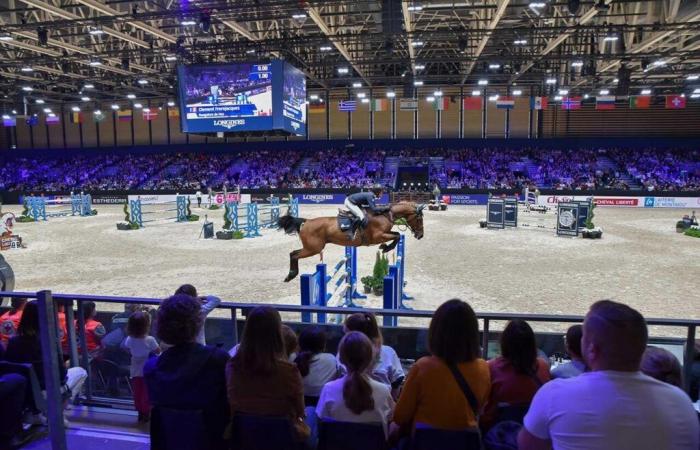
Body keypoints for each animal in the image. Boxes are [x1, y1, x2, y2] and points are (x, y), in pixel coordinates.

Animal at [276, 203, 424, 284]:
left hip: (311, 248)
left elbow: (397, 234)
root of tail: (305, 222)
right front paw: (386, 248)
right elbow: (397, 236)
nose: (420, 235)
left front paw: (385, 247)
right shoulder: (378, 236)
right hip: (313, 249)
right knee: (294, 255)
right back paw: (291, 274)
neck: (385, 215)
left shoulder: (384, 233)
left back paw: (290, 275)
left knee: (293, 253)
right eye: (419, 219)